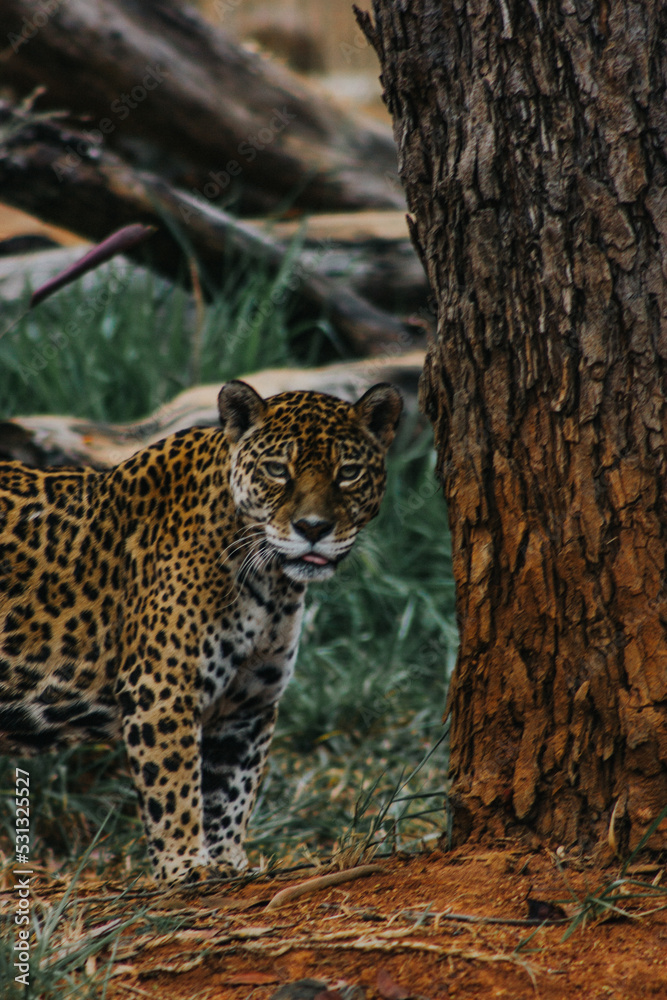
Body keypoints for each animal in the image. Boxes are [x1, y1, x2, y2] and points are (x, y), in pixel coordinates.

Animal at [0, 380, 402, 882]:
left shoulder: (248, 704)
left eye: (348, 473)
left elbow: (231, 791)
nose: (313, 528)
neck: (271, 585)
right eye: (277, 470)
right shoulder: (161, 690)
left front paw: (228, 862)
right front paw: (184, 867)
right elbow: (174, 784)